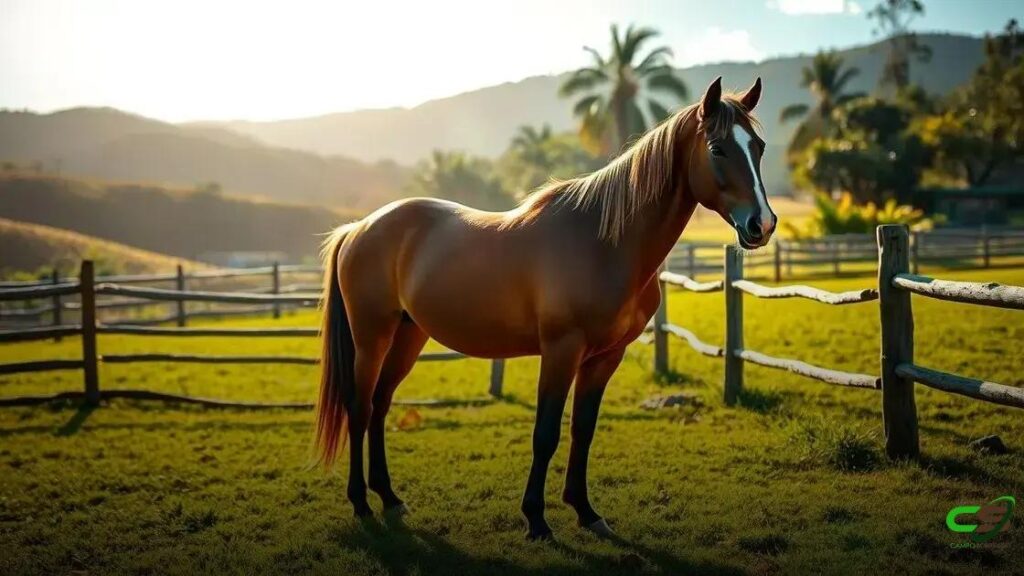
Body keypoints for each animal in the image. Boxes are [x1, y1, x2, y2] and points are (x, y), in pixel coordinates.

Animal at [314, 76, 776, 540]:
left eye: (758, 147)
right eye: (717, 149)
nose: (763, 225)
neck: (602, 242)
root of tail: (358, 228)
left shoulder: (606, 356)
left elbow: (583, 429)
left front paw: (586, 510)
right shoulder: (560, 350)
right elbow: (546, 432)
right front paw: (536, 518)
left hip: (409, 334)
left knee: (380, 404)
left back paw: (390, 497)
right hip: (372, 337)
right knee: (360, 407)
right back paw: (361, 503)